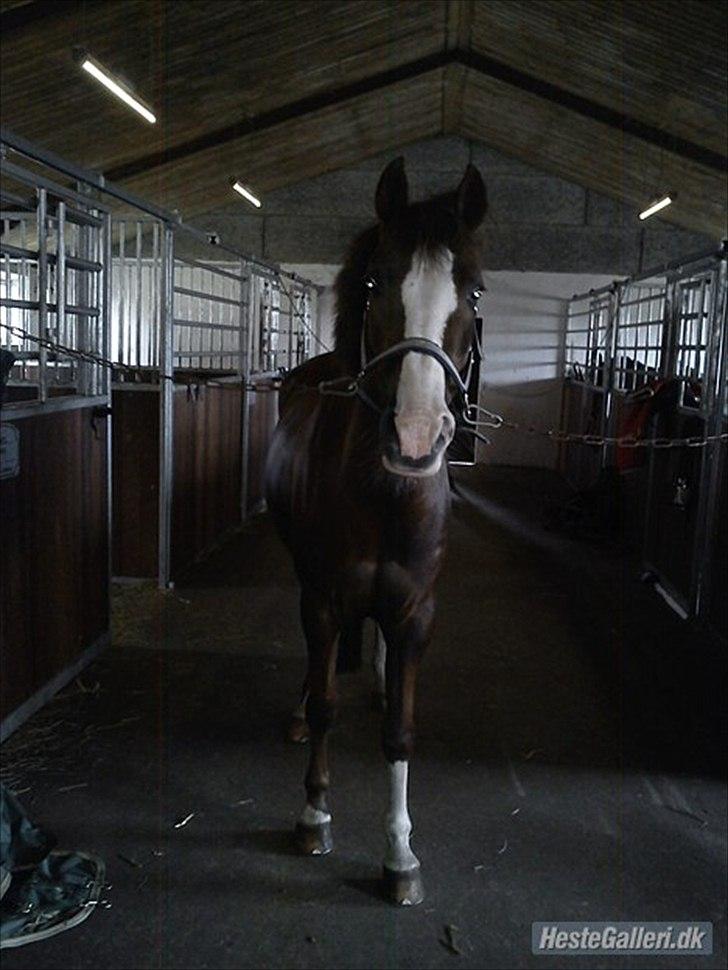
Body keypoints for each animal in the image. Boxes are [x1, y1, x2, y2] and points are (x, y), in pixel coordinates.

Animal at [264, 157, 487, 906]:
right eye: (375, 281)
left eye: (474, 290)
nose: (416, 437)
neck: (384, 494)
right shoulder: (322, 600)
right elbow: (328, 703)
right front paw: (313, 817)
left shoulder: (417, 610)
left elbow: (399, 734)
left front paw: (400, 854)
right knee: (315, 674)